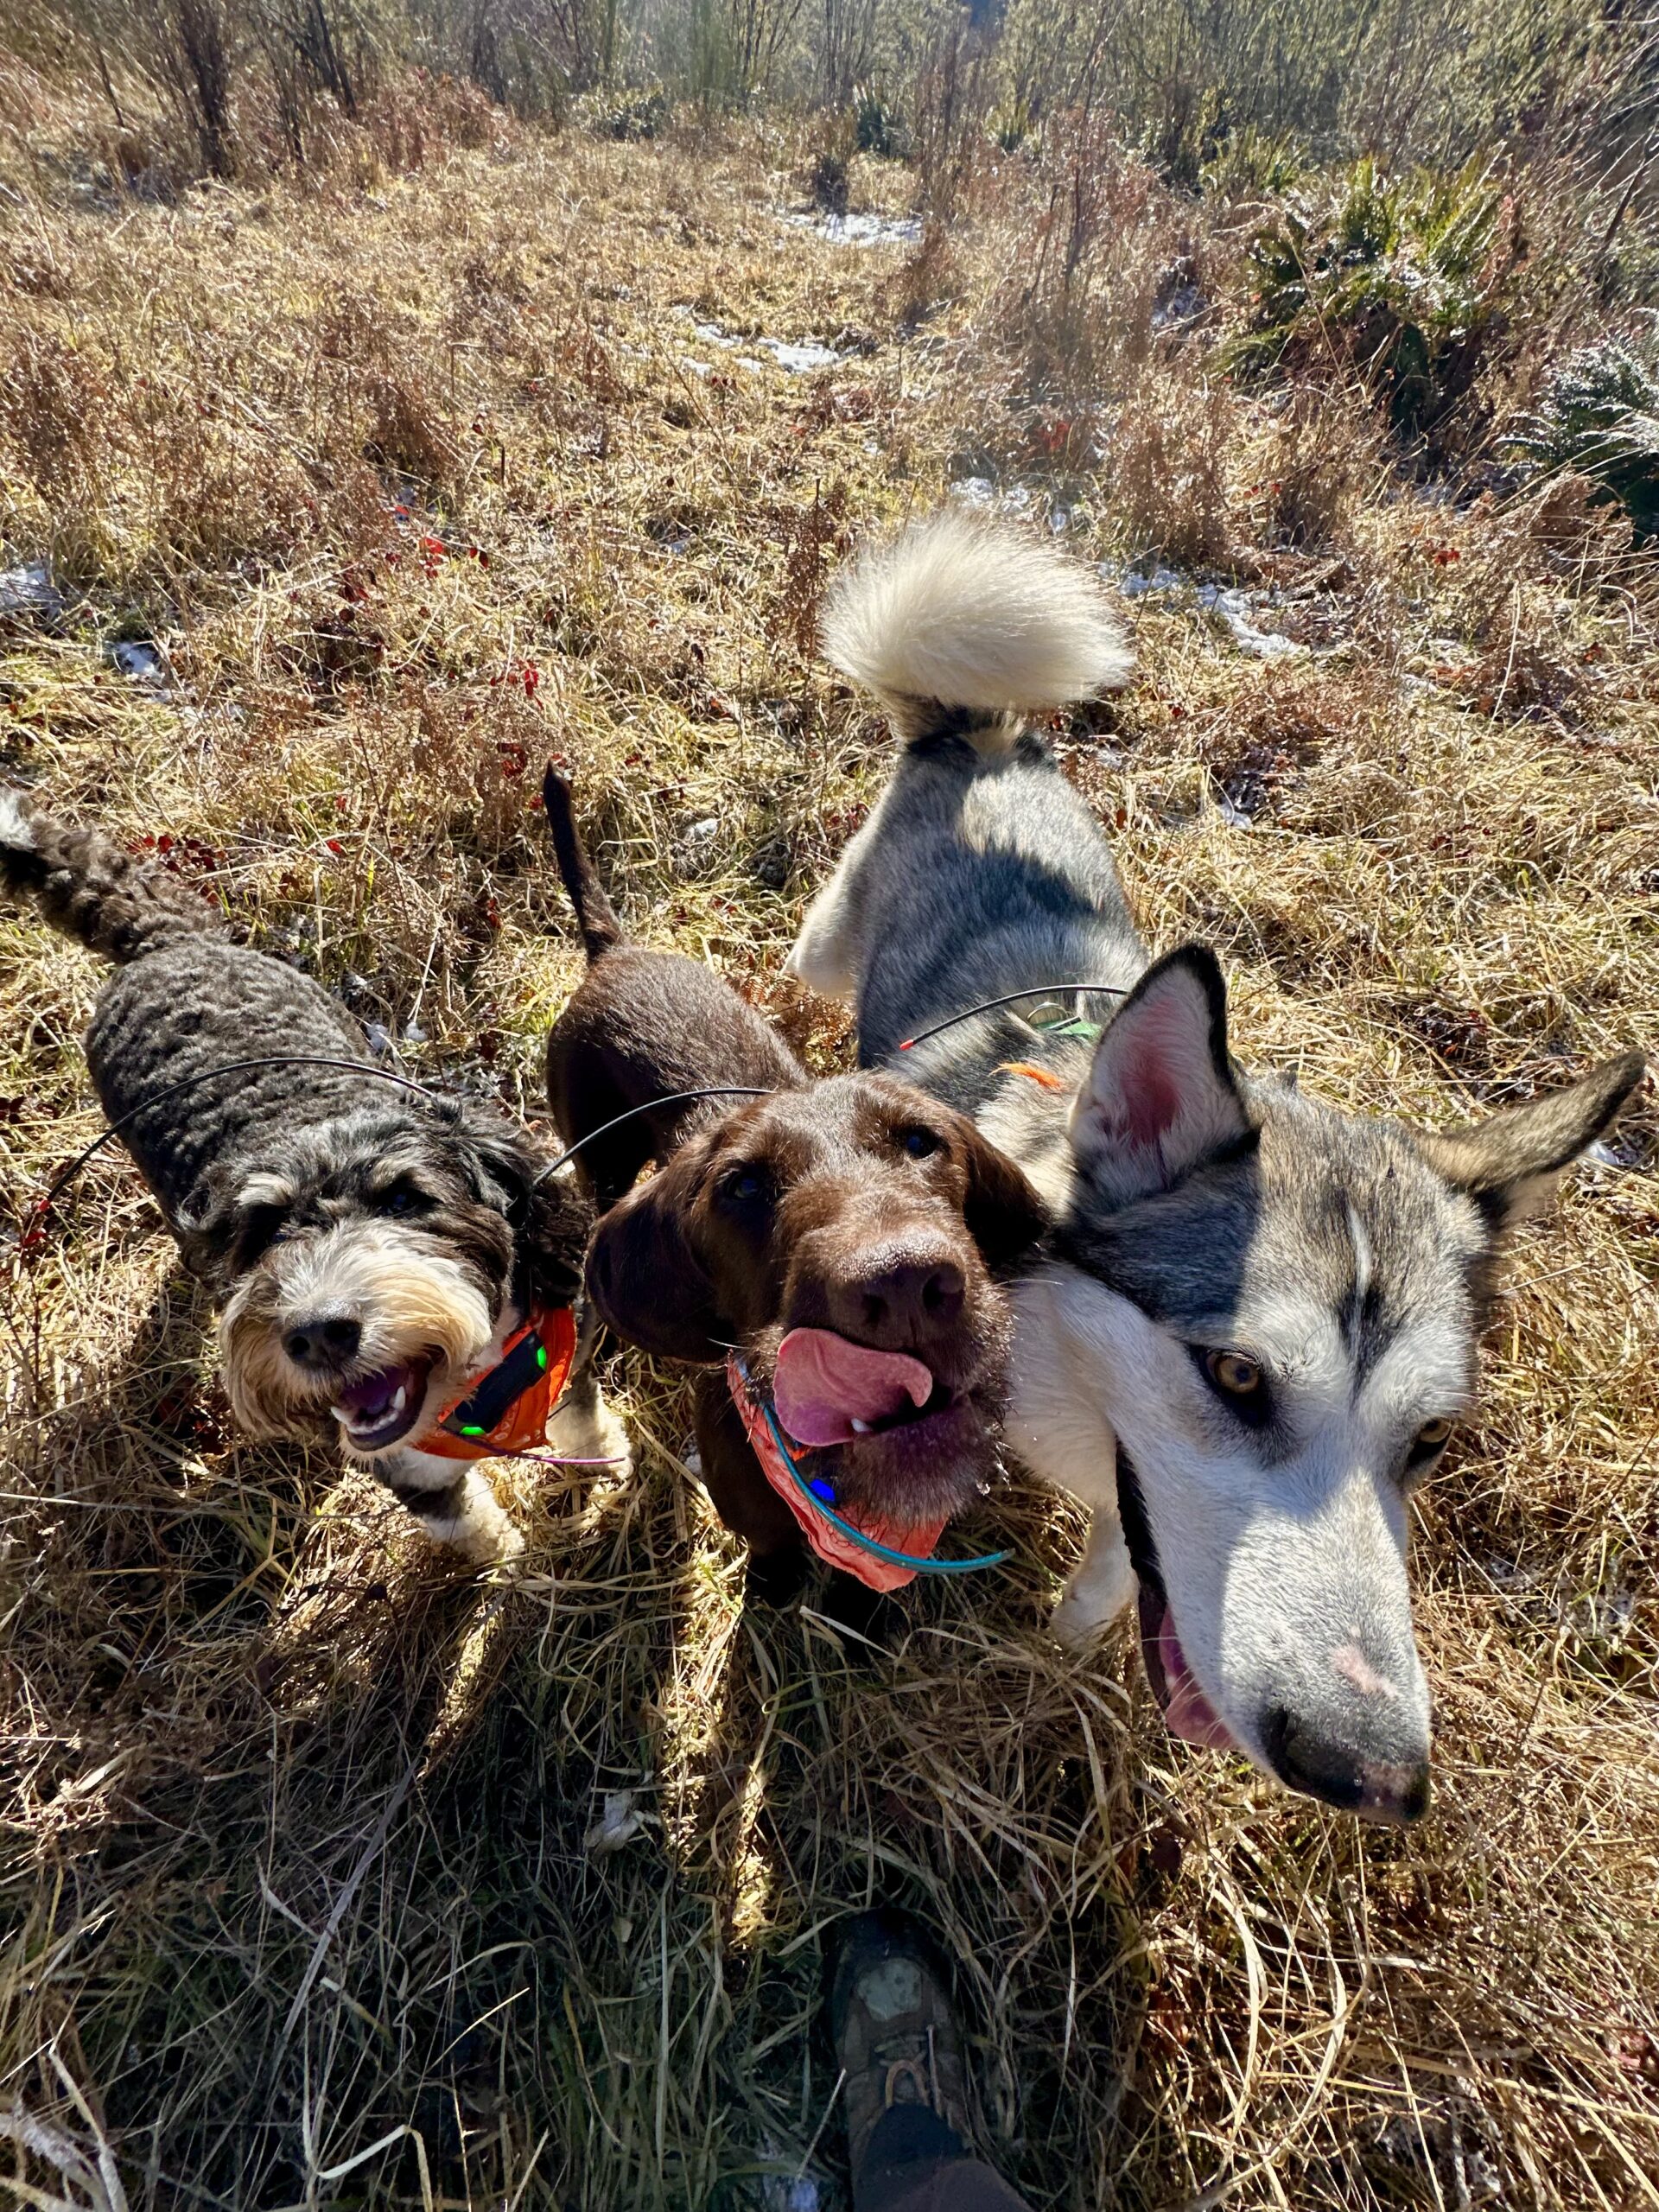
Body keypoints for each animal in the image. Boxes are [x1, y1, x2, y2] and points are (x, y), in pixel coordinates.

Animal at [1, 787, 623, 1566]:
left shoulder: (559, 1367)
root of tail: (165, 943)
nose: (319, 1335)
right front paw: (511, 1566)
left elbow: (583, 1426)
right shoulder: (412, 1470)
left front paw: (608, 1474)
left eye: (405, 1198)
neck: (470, 1391)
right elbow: (471, 1528)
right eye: (265, 1229)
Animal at [539, 769, 1044, 1601]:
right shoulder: (754, 1512)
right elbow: (771, 1552)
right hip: (597, 1153)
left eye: (921, 1142)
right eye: (740, 1187)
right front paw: (775, 1592)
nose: (904, 1286)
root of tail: (615, 951)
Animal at [791, 508, 1654, 1822]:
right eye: (1239, 1376)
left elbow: (1111, 1583)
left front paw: (1063, 1649)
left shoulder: (1133, 1507)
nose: (1372, 1776)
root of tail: (980, 735)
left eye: (1430, 1440)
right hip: (825, 948)